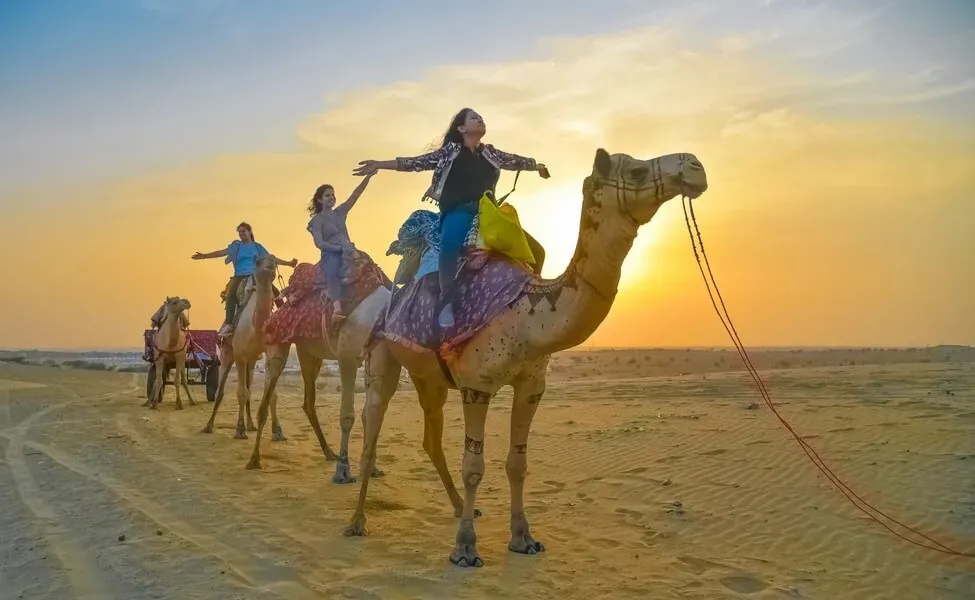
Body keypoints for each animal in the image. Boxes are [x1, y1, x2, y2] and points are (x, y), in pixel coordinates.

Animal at [202, 254, 278, 438]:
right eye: (258, 261)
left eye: (274, 259)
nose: (269, 262)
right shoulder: (240, 356)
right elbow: (241, 393)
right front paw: (240, 429)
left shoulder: (267, 353)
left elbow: (270, 394)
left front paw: (278, 432)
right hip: (227, 354)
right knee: (221, 391)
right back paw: (209, 425)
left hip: (251, 361)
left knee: (249, 389)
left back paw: (251, 425)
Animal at [244, 255, 392, 486]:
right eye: (257, 261)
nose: (267, 264)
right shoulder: (347, 357)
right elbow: (348, 416)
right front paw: (343, 470)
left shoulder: (369, 358)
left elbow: (367, 415)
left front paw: (372, 468)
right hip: (291, 345)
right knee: (273, 400)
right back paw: (254, 459)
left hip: (309, 352)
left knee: (307, 401)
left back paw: (328, 452)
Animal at [346, 148, 709, 568]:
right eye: (635, 170)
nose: (695, 166)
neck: (526, 313)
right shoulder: (476, 385)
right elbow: (474, 467)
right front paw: (465, 549)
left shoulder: (532, 385)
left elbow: (517, 464)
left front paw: (523, 539)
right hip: (381, 355)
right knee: (371, 436)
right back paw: (356, 523)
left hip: (429, 377)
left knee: (430, 438)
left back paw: (456, 507)